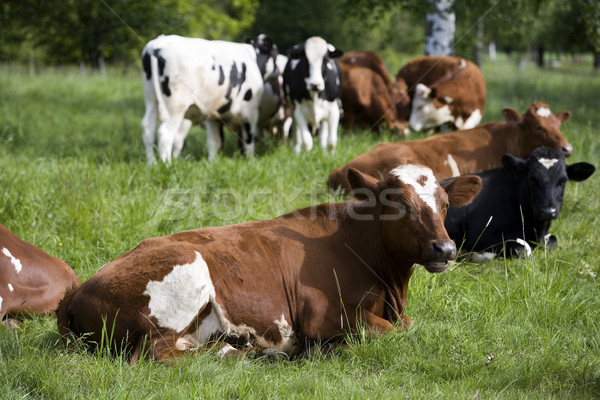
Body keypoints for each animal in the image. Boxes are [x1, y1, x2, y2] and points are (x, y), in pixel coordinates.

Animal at [58, 165, 480, 362]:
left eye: (445, 205)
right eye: (400, 205)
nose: (445, 248)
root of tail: (78, 289)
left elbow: (406, 324)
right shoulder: (325, 316)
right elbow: (394, 331)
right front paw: (325, 350)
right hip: (183, 275)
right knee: (156, 355)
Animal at [141, 34, 278, 164]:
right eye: (274, 53)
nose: (277, 71)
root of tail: (157, 44)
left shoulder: (214, 117)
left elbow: (214, 143)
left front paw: (212, 163)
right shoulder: (250, 112)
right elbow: (248, 142)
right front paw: (250, 161)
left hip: (151, 100)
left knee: (148, 128)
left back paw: (152, 164)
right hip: (175, 107)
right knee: (165, 134)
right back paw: (166, 165)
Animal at [442, 147, 592, 260]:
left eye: (563, 181)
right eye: (532, 179)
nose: (548, 211)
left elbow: (553, 240)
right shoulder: (480, 234)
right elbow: (523, 248)